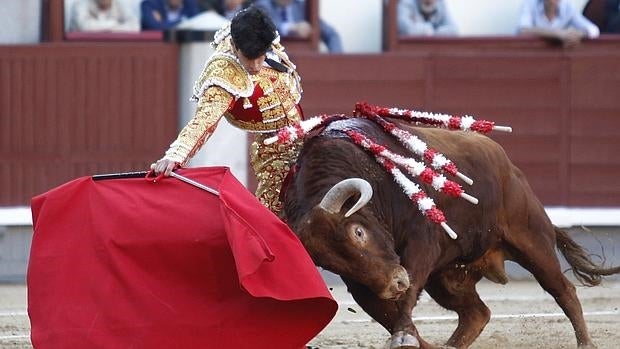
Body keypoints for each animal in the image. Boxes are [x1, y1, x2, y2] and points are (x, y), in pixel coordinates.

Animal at [282, 117, 620, 348]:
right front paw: (410, 337)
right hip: (447, 277)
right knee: (476, 313)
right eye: (328, 263)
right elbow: (384, 311)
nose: (395, 284)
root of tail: (509, 166)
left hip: (532, 239)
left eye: (358, 233)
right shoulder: (362, 281)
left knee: (563, 290)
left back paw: (585, 343)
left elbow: (402, 301)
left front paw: (404, 335)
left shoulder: (421, 245)